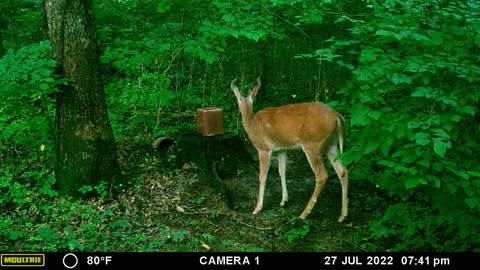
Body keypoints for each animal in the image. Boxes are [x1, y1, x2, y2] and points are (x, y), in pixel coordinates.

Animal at [231, 77, 346, 223]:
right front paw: (284, 200)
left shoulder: (263, 148)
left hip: (313, 144)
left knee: (322, 175)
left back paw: (305, 213)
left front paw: (257, 208)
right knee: (343, 171)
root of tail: (337, 116)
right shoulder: (281, 148)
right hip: (331, 144)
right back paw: (343, 215)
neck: (252, 124)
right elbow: (282, 171)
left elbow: (262, 176)